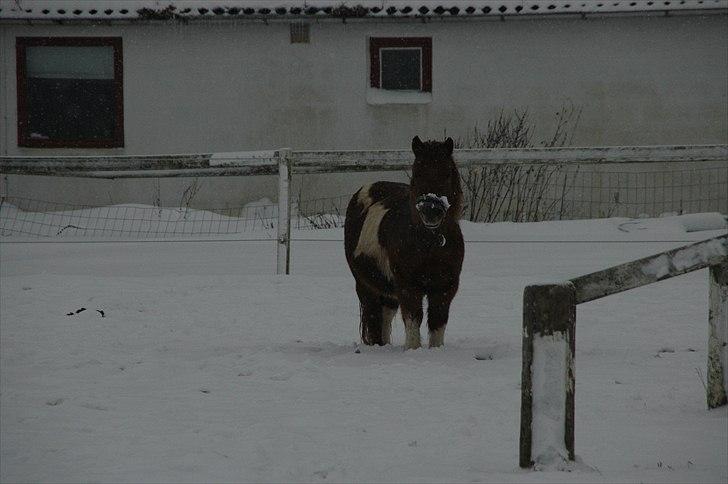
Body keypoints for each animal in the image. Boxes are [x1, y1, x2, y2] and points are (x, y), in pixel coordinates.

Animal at [344, 136, 464, 348]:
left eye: (448, 172)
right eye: (416, 172)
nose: (431, 210)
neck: (430, 244)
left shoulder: (445, 289)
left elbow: (437, 324)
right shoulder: (408, 288)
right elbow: (413, 321)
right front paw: (413, 350)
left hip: (388, 292)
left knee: (385, 316)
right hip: (366, 285)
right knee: (374, 317)